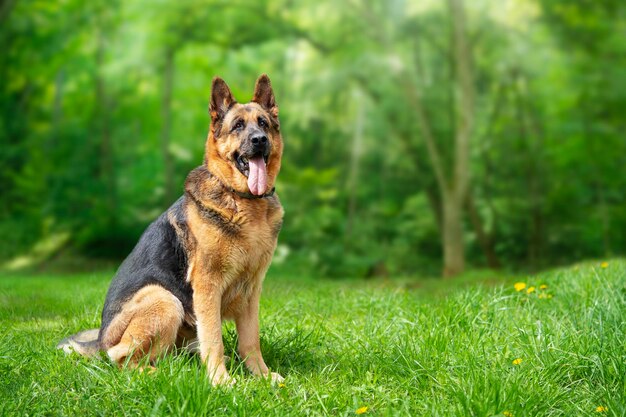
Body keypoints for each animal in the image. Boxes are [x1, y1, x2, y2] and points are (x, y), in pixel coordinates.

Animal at [58, 74, 282, 384]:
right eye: (238, 126)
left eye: (263, 123)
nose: (259, 140)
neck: (243, 200)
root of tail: (101, 338)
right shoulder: (207, 287)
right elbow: (214, 337)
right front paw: (221, 382)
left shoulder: (251, 290)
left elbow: (251, 341)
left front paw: (262, 376)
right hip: (164, 299)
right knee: (122, 359)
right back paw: (158, 375)